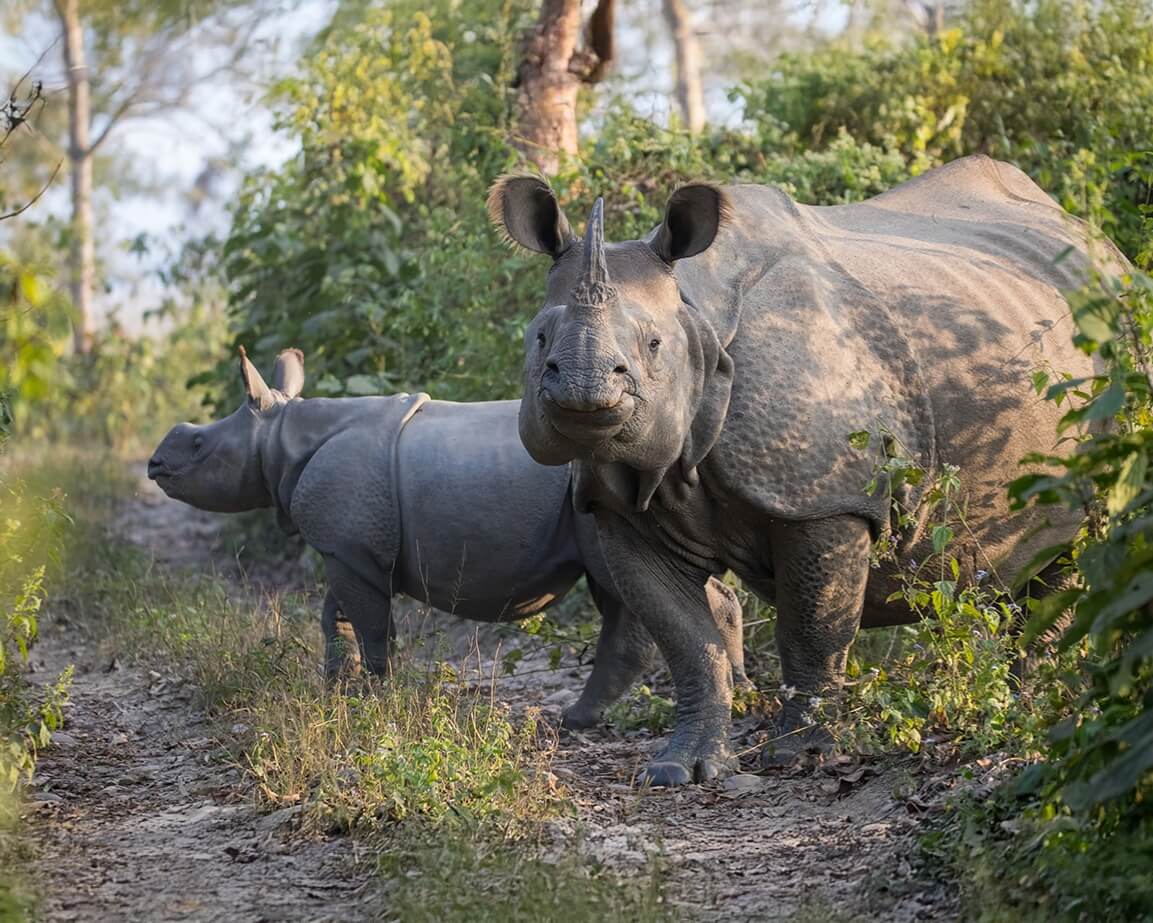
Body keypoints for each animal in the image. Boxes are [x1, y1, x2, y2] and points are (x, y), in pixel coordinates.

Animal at [146, 347, 747, 728]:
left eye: (198, 445)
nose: (154, 464)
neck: (278, 437)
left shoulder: (353, 548)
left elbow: (371, 627)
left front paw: (378, 696)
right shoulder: (349, 547)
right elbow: (335, 619)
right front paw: (337, 692)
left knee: (625, 586)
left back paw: (581, 720)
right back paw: (730, 691)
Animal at [490, 154, 1131, 785]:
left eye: (653, 345)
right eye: (538, 338)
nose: (582, 387)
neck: (697, 317)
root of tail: (1102, 246)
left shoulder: (823, 498)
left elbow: (812, 627)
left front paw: (801, 756)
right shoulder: (624, 508)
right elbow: (687, 641)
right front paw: (679, 769)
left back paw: (1032, 715)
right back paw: (1020, 707)